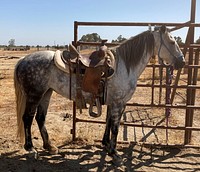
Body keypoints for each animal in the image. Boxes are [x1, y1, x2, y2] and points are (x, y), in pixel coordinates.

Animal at [14, 24, 185, 158]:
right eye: (171, 41)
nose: (182, 62)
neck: (125, 66)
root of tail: (23, 60)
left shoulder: (113, 102)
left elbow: (108, 122)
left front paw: (106, 144)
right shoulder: (119, 103)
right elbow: (115, 126)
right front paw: (114, 153)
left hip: (46, 93)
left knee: (40, 118)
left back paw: (49, 146)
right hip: (34, 95)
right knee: (27, 118)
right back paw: (30, 149)